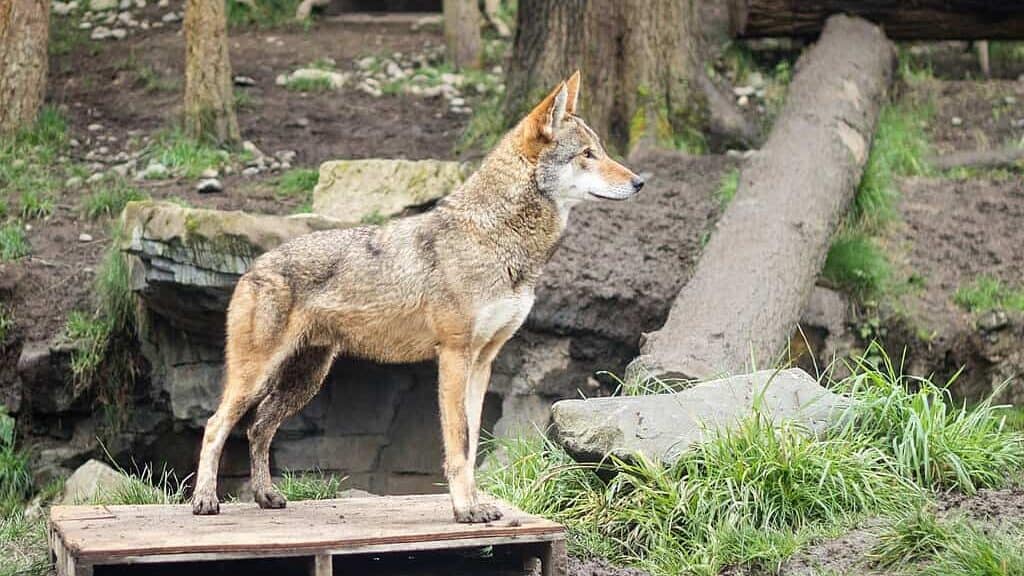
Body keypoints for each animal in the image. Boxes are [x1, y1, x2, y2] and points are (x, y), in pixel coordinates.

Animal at [190, 71, 644, 523]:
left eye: (601, 150)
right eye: (587, 154)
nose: (640, 182)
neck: (496, 239)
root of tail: (253, 266)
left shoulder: (483, 363)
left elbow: (472, 444)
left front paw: (476, 505)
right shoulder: (454, 357)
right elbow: (458, 442)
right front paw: (465, 510)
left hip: (303, 381)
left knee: (258, 427)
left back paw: (266, 496)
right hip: (258, 376)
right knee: (216, 425)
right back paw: (205, 501)